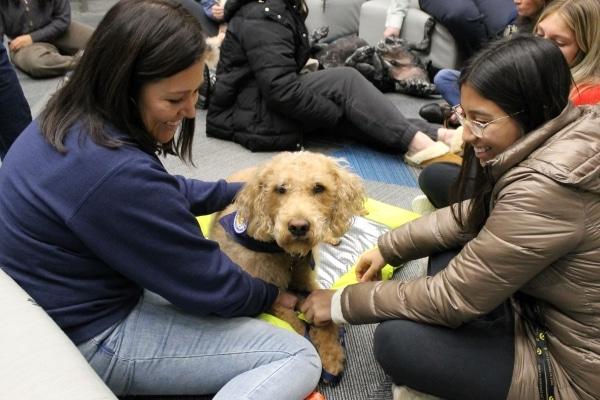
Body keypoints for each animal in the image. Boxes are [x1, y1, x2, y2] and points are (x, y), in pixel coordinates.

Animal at [211, 152, 366, 382]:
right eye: (280, 189)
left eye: (318, 188)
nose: (298, 227)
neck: (286, 254)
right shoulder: (261, 292)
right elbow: (294, 321)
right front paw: (312, 338)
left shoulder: (307, 282)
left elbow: (325, 315)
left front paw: (331, 353)